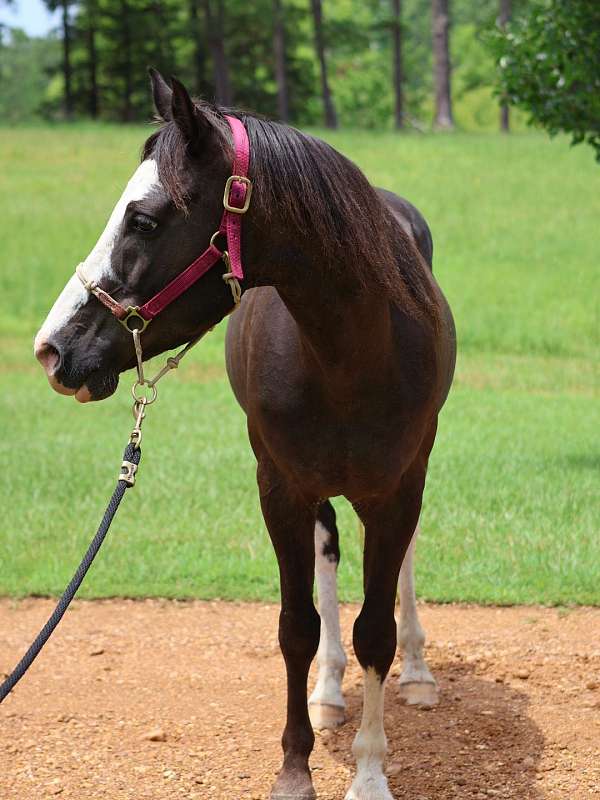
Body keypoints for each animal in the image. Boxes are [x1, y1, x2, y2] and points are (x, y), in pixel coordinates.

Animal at [34, 70, 456, 800]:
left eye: (144, 220)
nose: (52, 349)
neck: (352, 354)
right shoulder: (279, 489)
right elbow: (296, 627)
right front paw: (294, 769)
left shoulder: (398, 489)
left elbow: (376, 629)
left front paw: (371, 772)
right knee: (327, 558)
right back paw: (329, 692)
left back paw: (419, 674)